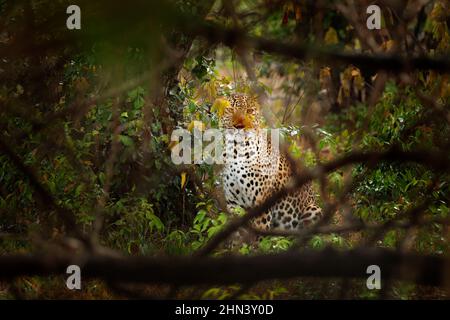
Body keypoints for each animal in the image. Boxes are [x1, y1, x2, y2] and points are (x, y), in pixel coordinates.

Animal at [219, 92, 322, 238]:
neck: (236, 151)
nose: (239, 126)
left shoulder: (261, 205)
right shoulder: (234, 204)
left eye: (249, 111)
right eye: (231, 110)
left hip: (314, 209)